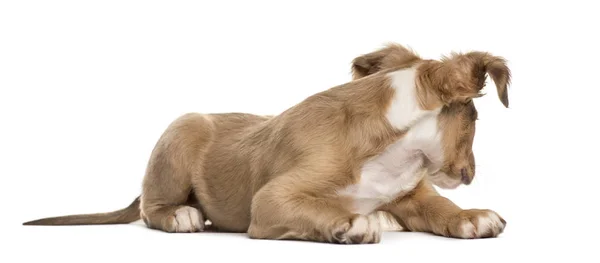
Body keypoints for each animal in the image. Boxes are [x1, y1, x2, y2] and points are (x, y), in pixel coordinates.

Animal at [23, 42, 510, 245]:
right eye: (476, 118)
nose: (469, 173)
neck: (394, 150)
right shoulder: (271, 200)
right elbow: (319, 209)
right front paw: (349, 223)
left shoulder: (411, 192)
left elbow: (439, 206)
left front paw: (470, 216)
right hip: (182, 131)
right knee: (150, 209)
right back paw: (181, 215)